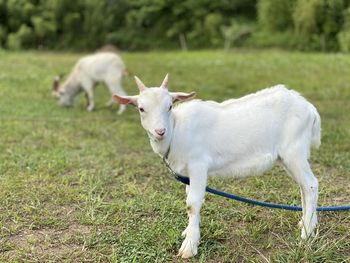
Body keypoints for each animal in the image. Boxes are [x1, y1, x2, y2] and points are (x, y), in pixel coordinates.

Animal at [113, 75, 322, 260]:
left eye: (169, 106)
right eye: (141, 108)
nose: (160, 131)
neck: (176, 131)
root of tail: (310, 109)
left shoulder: (198, 165)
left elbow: (192, 203)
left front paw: (189, 247)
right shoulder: (188, 173)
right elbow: (188, 200)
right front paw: (189, 232)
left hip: (294, 151)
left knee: (311, 185)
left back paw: (306, 234)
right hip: (289, 157)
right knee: (303, 187)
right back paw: (307, 223)